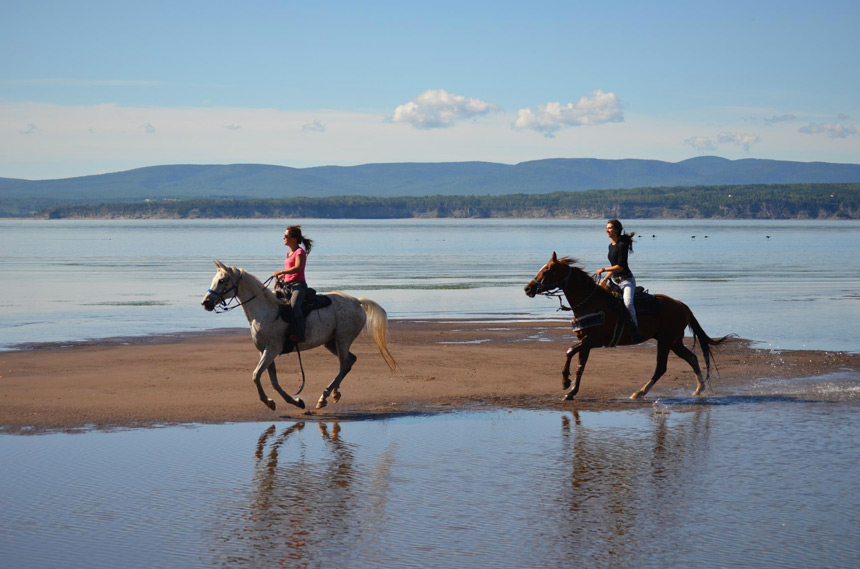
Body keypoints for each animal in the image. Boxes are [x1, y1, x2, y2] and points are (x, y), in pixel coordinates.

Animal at [203, 260, 398, 410]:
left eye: (222, 280)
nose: (206, 303)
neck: (265, 310)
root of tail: (357, 302)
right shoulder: (264, 351)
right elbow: (273, 380)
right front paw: (294, 401)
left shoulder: (272, 349)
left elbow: (256, 375)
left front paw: (268, 402)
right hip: (331, 342)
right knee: (350, 361)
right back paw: (334, 394)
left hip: (342, 340)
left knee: (344, 365)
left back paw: (324, 397)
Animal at [520, 253, 728, 400]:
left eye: (547, 270)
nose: (528, 288)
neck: (590, 303)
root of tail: (682, 305)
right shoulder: (585, 341)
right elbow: (580, 366)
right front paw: (571, 392)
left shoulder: (593, 340)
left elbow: (569, 351)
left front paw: (565, 381)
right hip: (674, 342)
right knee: (691, 358)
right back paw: (699, 389)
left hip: (666, 341)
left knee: (661, 367)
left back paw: (640, 392)